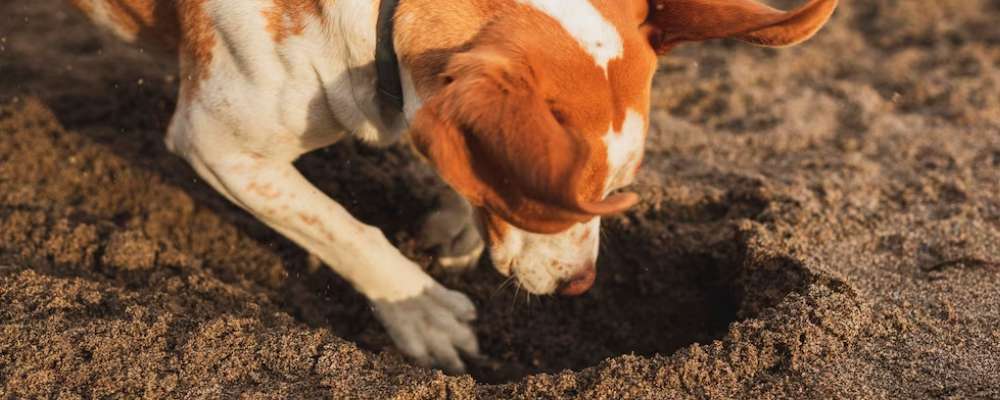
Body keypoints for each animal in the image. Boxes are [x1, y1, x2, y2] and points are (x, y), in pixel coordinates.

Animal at [68, 0, 836, 372]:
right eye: (569, 200)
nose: (582, 285)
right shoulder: (218, 143)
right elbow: (342, 226)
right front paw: (424, 312)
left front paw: (458, 226)